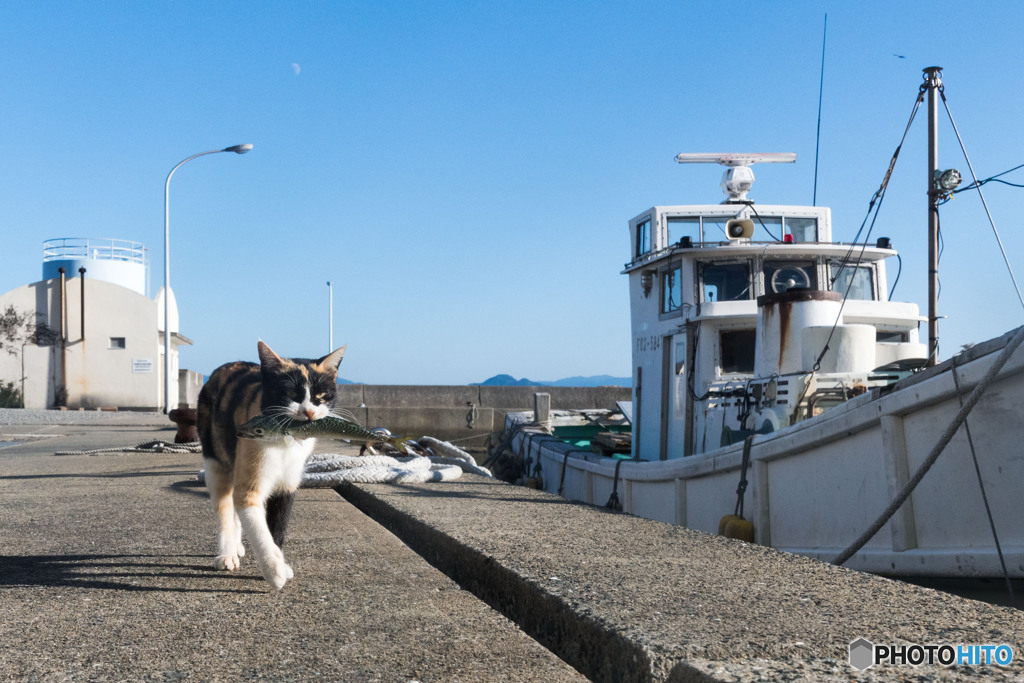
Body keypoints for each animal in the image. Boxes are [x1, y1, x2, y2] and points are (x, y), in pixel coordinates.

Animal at [195, 339, 348, 589]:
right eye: (291, 392)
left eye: (321, 394)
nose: (308, 411)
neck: (287, 441)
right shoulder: (250, 479)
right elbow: (257, 525)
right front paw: (274, 570)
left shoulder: (288, 484)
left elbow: (278, 526)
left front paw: (281, 564)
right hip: (215, 460)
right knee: (225, 505)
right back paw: (228, 552)